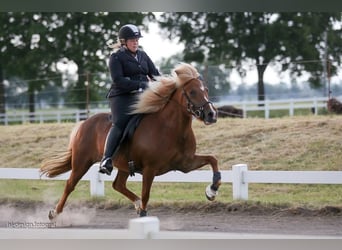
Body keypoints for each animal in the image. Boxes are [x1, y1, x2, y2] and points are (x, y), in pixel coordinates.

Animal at [40, 62, 222, 219]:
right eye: (192, 92)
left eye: (206, 89)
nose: (212, 114)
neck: (171, 128)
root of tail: (84, 123)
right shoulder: (150, 169)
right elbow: (146, 194)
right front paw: (143, 215)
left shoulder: (185, 163)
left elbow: (213, 159)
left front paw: (212, 191)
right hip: (81, 162)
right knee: (70, 185)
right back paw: (54, 213)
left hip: (123, 165)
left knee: (118, 185)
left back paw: (136, 204)